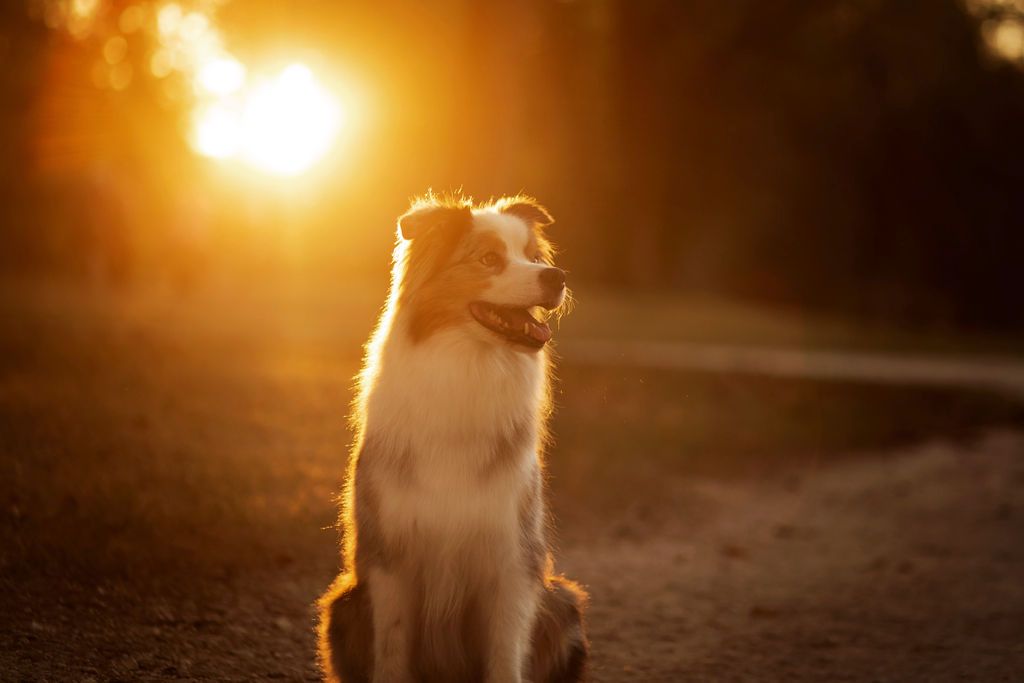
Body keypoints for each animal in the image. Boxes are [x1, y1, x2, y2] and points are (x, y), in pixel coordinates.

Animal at [319, 193, 593, 683]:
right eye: (489, 259)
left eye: (534, 257)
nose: (557, 276)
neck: (469, 367)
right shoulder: (391, 558)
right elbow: (392, 649)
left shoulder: (511, 555)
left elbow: (505, 654)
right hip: (342, 605)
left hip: (563, 602)